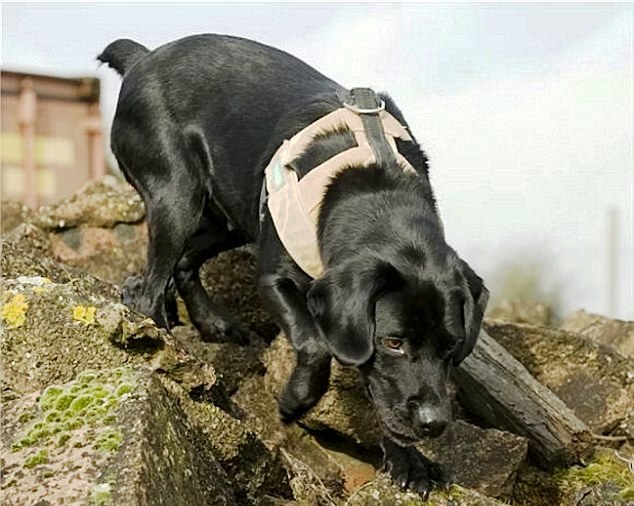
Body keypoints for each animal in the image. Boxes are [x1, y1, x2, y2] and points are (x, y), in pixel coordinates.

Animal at [99, 34, 486, 494]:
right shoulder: (276, 278)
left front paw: (409, 462)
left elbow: (380, 393)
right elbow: (315, 344)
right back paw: (159, 336)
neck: (376, 191)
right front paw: (294, 401)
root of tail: (143, 57)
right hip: (177, 195)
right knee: (153, 284)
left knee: (185, 262)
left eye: (451, 347)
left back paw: (213, 323)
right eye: (393, 342)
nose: (433, 424)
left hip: (231, 213)